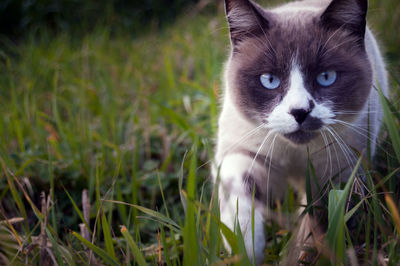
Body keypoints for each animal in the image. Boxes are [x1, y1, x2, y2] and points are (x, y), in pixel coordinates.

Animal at [214, 0, 390, 262]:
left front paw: (299, 255)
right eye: (269, 80)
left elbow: (318, 224)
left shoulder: (336, 175)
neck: (295, 153)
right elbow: (239, 189)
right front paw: (245, 247)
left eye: (326, 77)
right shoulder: (246, 150)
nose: (299, 112)